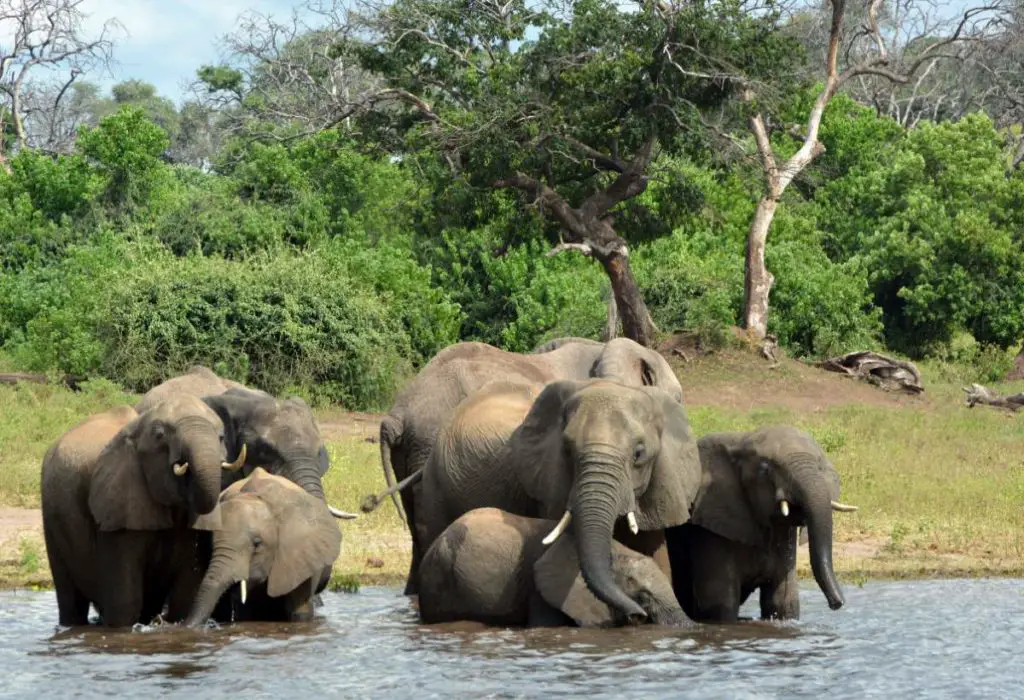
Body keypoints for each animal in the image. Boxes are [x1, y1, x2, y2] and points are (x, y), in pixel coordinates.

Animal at [38, 392, 246, 630]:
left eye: (221, 437)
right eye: (160, 436)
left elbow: (185, 594)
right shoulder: (119, 502)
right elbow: (125, 602)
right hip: (51, 515)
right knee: (70, 598)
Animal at [659, 423, 860, 622]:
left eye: (820, 466)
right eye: (765, 469)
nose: (837, 604)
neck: (742, 439)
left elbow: (783, 602)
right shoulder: (709, 525)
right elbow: (720, 606)